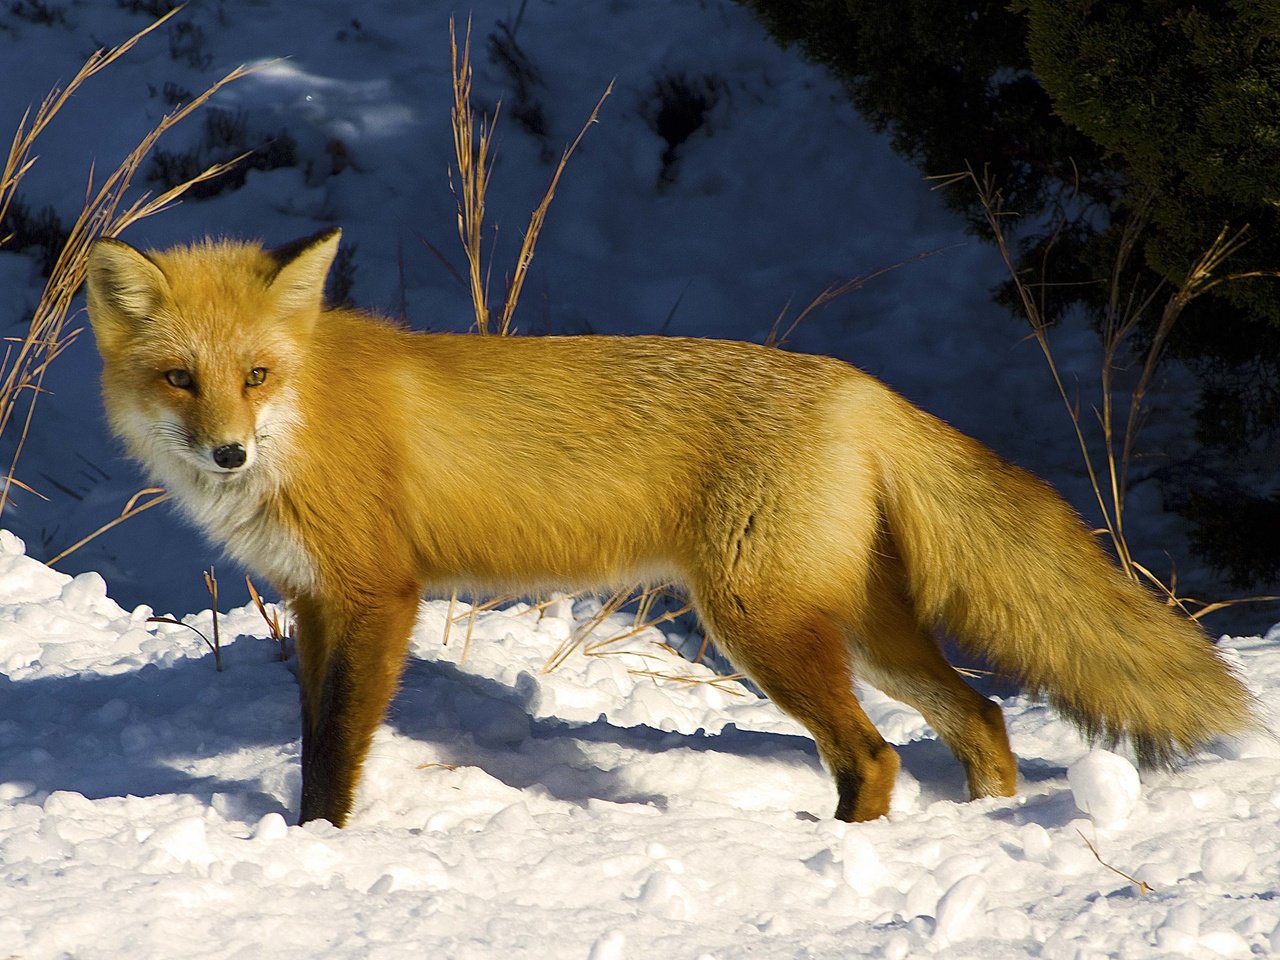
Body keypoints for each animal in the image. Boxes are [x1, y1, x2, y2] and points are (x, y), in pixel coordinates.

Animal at [85, 229, 1254, 829]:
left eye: (255, 376)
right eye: (181, 379)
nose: (227, 454)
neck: (309, 419)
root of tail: (855, 385)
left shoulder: (379, 596)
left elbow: (335, 752)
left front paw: (321, 843)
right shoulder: (316, 600)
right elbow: (308, 738)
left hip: (758, 623)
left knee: (875, 756)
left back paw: (849, 856)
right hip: (861, 630)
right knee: (983, 717)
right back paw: (977, 828)